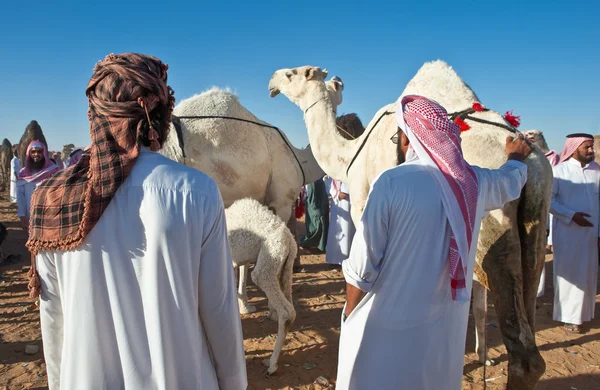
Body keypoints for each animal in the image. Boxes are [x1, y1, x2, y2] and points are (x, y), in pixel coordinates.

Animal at [225, 198, 296, 374]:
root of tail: (290, 240)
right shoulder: (239, 259)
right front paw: (244, 308)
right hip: (283, 265)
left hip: (269, 260)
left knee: (286, 311)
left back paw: (272, 364)